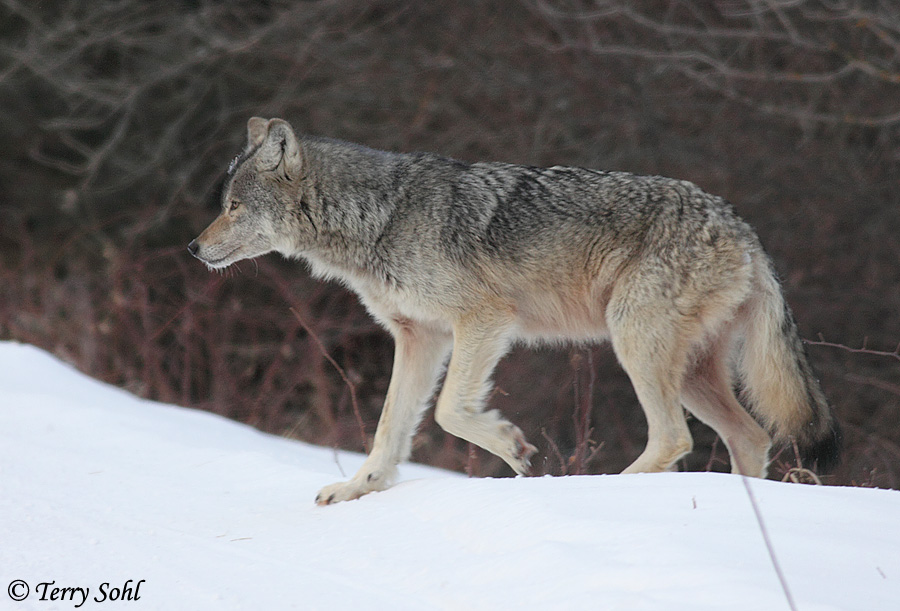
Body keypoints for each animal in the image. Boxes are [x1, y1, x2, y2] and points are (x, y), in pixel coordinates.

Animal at [189, 117, 840, 505]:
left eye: (234, 206)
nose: (193, 248)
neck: (381, 216)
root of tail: (745, 232)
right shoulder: (419, 338)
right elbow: (390, 428)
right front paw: (360, 487)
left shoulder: (482, 320)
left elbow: (450, 412)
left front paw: (512, 448)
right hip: (689, 372)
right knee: (751, 436)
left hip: (634, 344)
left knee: (674, 439)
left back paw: (599, 490)